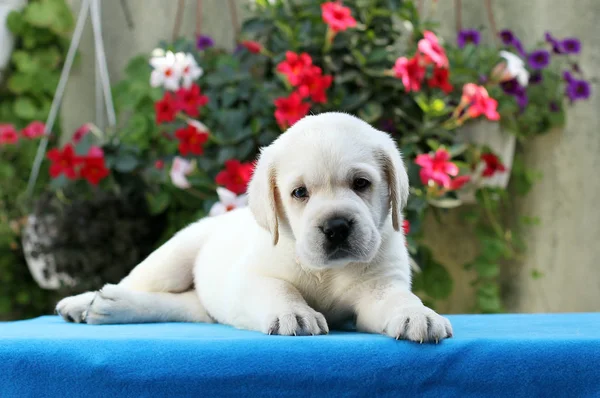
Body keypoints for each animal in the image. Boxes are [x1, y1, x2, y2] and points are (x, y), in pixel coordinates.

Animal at [56, 111, 452, 342]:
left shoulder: (380, 286)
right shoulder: (250, 277)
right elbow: (279, 288)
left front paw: (418, 315)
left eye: (361, 183)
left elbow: (399, 298)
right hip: (171, 257)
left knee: (186, 306)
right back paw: (89, 302)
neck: (325, 271)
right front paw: (295, 313)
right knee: (137, 283)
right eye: (299, 192)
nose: (337, 227)